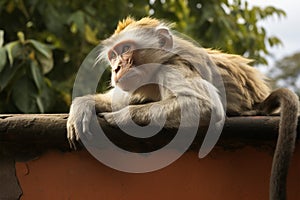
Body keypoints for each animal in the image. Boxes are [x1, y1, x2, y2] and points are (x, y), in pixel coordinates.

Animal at [67, 17, 298, 200]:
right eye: (113, 56)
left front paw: (121, 117)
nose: (116, 68)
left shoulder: (172, 70)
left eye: (125, 50)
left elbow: (206, 106)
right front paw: (82, 106)